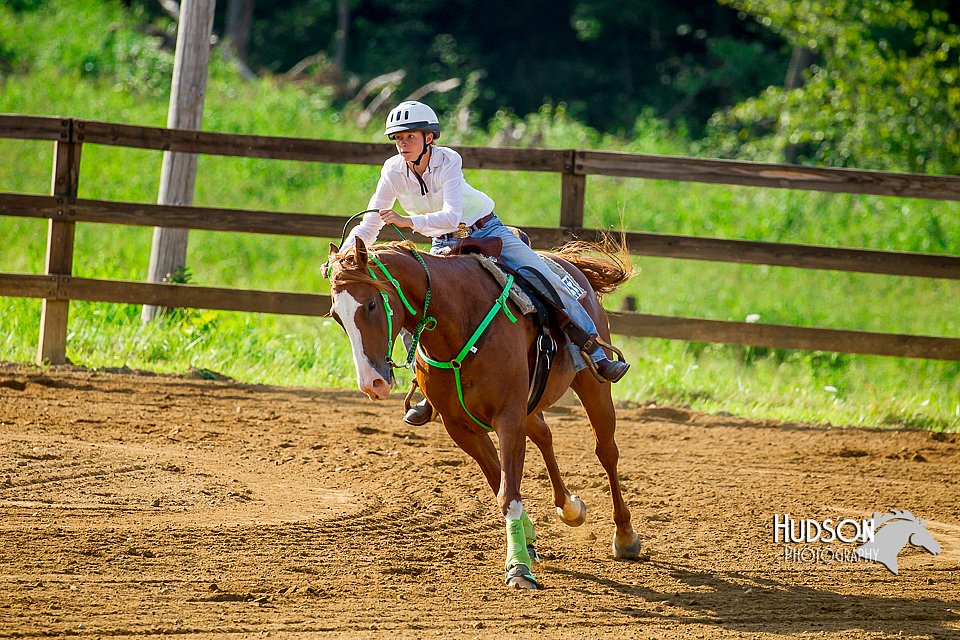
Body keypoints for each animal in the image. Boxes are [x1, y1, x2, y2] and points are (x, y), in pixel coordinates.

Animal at [326, 236, 640, 592]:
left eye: (370, 305)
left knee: (606, 451)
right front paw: (527, 542)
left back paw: (625, 535)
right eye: (337, 315)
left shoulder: (508, 418)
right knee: (545, 436)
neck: (458, 319)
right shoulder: (461, 427)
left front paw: (519, 568)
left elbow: (508, 492)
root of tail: (567, 263)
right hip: (530, 406)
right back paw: (569, 508)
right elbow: (498, 481)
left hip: (592, 386)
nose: (372, 383)